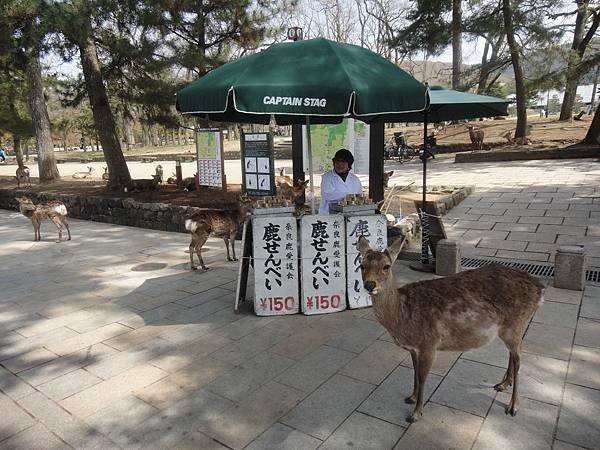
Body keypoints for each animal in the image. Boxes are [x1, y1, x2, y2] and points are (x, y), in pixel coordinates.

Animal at [358, 237, 548, 424]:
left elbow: (422, 377)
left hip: (516, 323)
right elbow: (415, 373)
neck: (403, 318)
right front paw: (411, 397)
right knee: (513, 353)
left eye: (386, 266)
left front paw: (416, 414)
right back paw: (503, 384)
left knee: (519, 358)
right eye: (362, 265)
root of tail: (539, 289)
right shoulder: (413, 348)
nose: (369, 284)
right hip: (510, 328)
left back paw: (513, 406)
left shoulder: (429, 343)